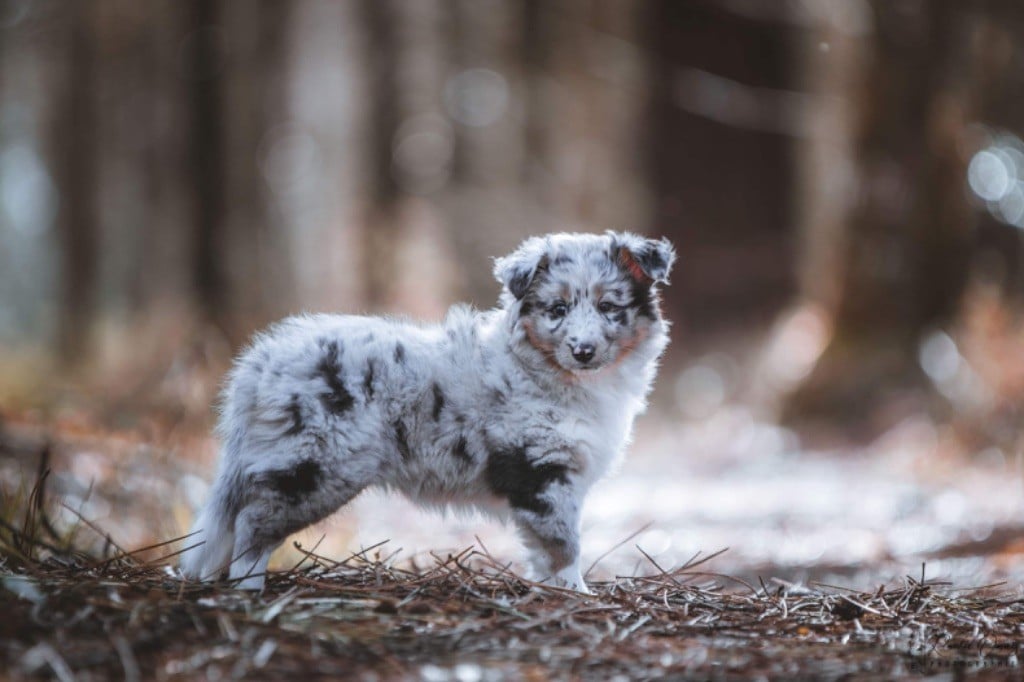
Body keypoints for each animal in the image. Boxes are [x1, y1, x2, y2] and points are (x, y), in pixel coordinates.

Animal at [180, 229, 675, 589]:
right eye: (557, 309)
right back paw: (248, 589)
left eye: (609, 307)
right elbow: (563, 547)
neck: (556, 377)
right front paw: (578, 595)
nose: (583, 350)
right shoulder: (541, 473)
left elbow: (544, 552)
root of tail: (259, 364)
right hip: (315, 469)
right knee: (251, 525)